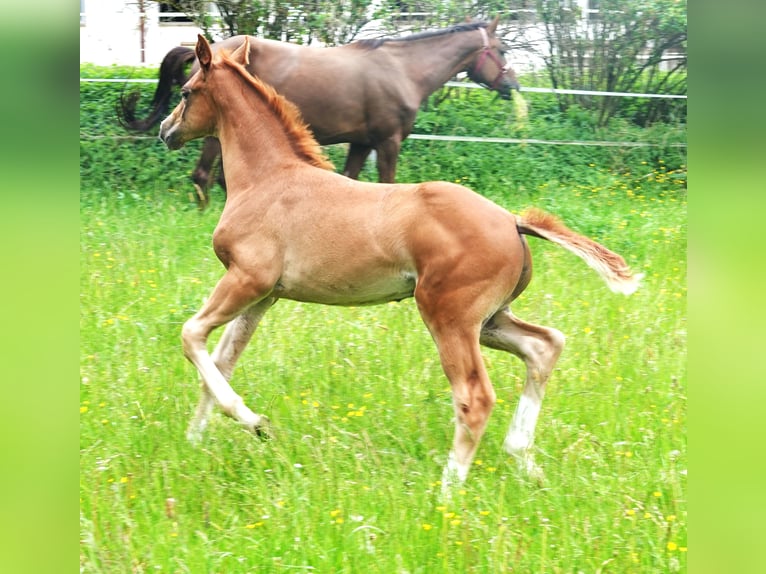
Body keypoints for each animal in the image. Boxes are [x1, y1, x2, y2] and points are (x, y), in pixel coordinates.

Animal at [123, 17, 524, 207]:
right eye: (502, 50)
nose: (514, 85)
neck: (402, 69)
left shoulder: (361, 143)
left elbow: (352, 182)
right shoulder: (388, 142)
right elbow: (387, 184)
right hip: (213, 134)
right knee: (203, 176)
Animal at [158, 36, 640, 492]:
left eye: (186, 91)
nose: (165, 129)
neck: (268, 178)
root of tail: (512, 220)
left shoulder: (246, 279)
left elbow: (191, 336)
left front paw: (252, 421)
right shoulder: (264, 297)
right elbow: (221, 362)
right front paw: (196, 441)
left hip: (449, 316)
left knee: (475, 396)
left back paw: (446, 494)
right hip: (489, 320)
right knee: (544, 346)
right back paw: (523, 460)